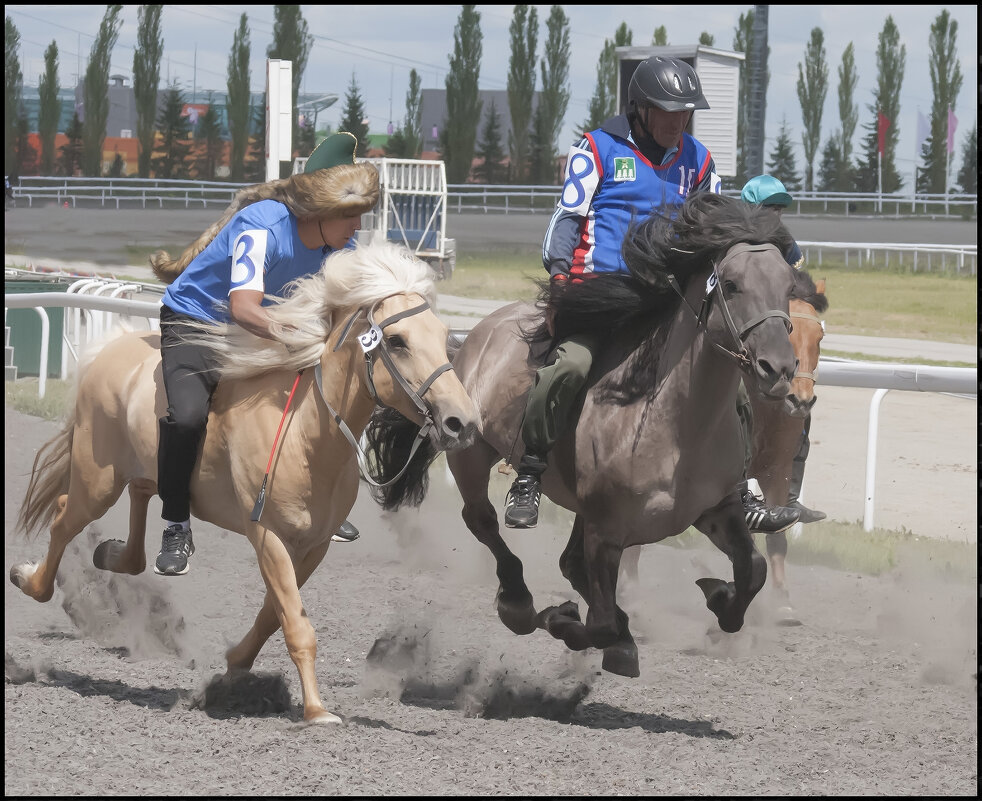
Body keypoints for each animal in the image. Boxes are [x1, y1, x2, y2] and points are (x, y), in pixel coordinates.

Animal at [10, 241, 480, 720]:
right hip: (98, 480)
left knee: (137, 511)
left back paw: (113, 554)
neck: (305, 434)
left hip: (137, 470)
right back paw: (29, 578)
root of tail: (108, 349)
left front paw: (237, 663)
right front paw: (317, 710)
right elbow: (295, 623)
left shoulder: (314, 546)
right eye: (398, 341)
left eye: (443, 337)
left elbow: (277, 614)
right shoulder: (268, 536)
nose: (462, 421)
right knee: (64, 518)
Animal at [368, 191, 800, 680]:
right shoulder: (605, 530)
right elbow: (603, 622)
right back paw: (518, 598)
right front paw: (568, 622)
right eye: (730, 284)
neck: (673, 423)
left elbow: (753, 570)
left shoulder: (715, 510)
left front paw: (719, 598)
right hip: (470, 452)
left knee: (566, 563)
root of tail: (471, 337)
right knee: (482, 522)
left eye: (789, 286)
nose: (778, 369)